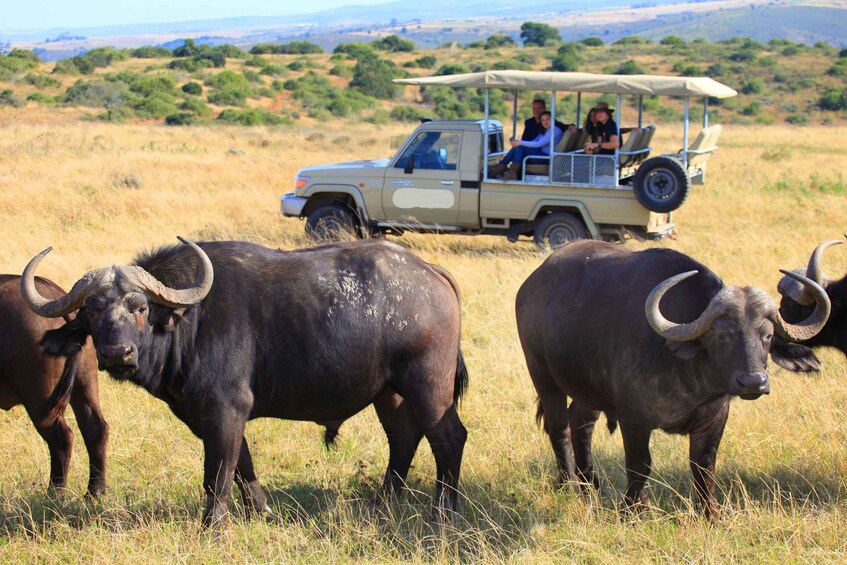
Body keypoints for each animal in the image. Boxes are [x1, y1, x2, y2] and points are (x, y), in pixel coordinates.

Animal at [0, 276, 109, 496]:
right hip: (83, 384)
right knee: (96, 429)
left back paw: (55, 494)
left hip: (40, 398)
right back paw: (94, 492)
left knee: (62, 439)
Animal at [19, 237, 470, 524]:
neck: (189, 321)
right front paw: (260, 512)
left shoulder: (225, 410)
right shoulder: (212, 417)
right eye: (92, 311)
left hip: (427, 386)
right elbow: (242, 466)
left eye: (140, 307)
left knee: (448, 436)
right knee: (403, 437)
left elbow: (217, 474)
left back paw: (443, 510)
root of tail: (430, 273)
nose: (117, 354)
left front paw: (212, 526)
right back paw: (382, 503)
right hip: (389, 393)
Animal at [512, 238, 832, 516]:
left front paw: (709, 513)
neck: (689, 379)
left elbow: (704, 465)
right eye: (722, 335)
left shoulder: (714, 417)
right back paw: (567, 484)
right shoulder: (634, 416)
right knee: (559, 428)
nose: (753, 382)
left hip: (588, 388)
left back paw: (590, 485)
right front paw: (633, 509)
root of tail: (531, 285)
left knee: (581, 423)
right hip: (542, 373)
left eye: (767, 337)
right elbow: (640, 464)